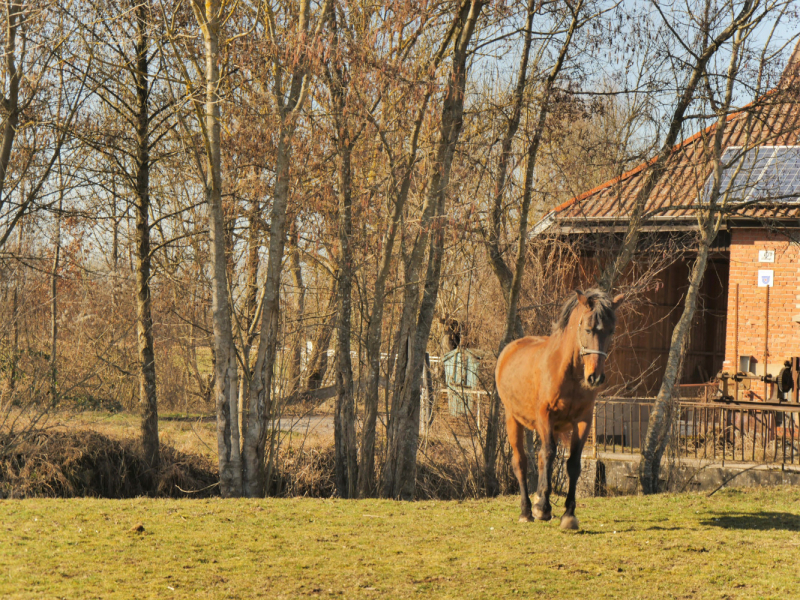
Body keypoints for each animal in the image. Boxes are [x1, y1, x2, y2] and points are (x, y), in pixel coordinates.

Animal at [496, 290, 620, 528]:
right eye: (588, 329)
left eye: (611, 331)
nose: (595, 377)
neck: (568, 372)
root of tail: (509, 349)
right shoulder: (546, 416)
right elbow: (550, 453)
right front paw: (543, 508)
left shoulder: (583, 421)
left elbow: (572, 464)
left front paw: (568, 514)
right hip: (512, 418)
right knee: (521, 462)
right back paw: (527, 510)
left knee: (540, 458)